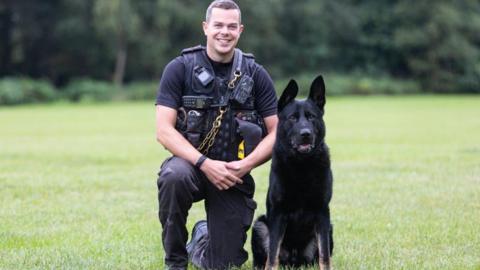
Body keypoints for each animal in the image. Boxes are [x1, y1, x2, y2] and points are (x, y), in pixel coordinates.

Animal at [251, 75, 334, 270]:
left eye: (311, 117)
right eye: (293, 118)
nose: (306, 134)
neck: (302, 165)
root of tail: (294, 261)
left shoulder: (322, 213)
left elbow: (325, 255)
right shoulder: (278, 214)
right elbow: (272, 254)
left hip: (329, 227)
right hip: (260, 225)